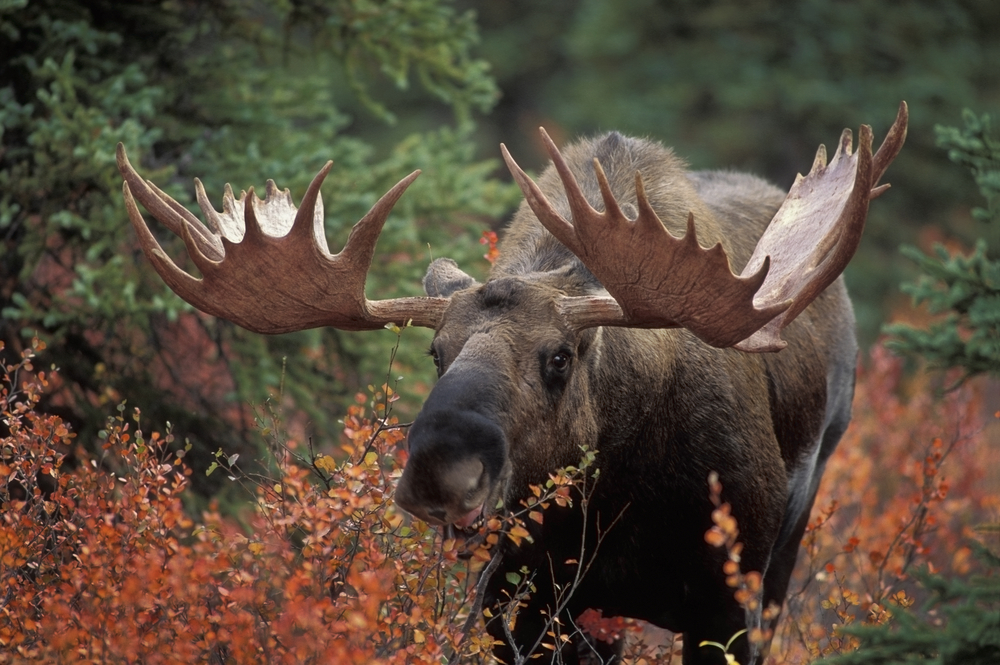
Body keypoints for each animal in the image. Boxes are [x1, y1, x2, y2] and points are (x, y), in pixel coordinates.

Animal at [117, 102, 907, 664]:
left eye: (560, 356)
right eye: (435, 351)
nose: (440, 470)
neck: (615, 496)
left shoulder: (727, 597)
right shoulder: (518, 598)